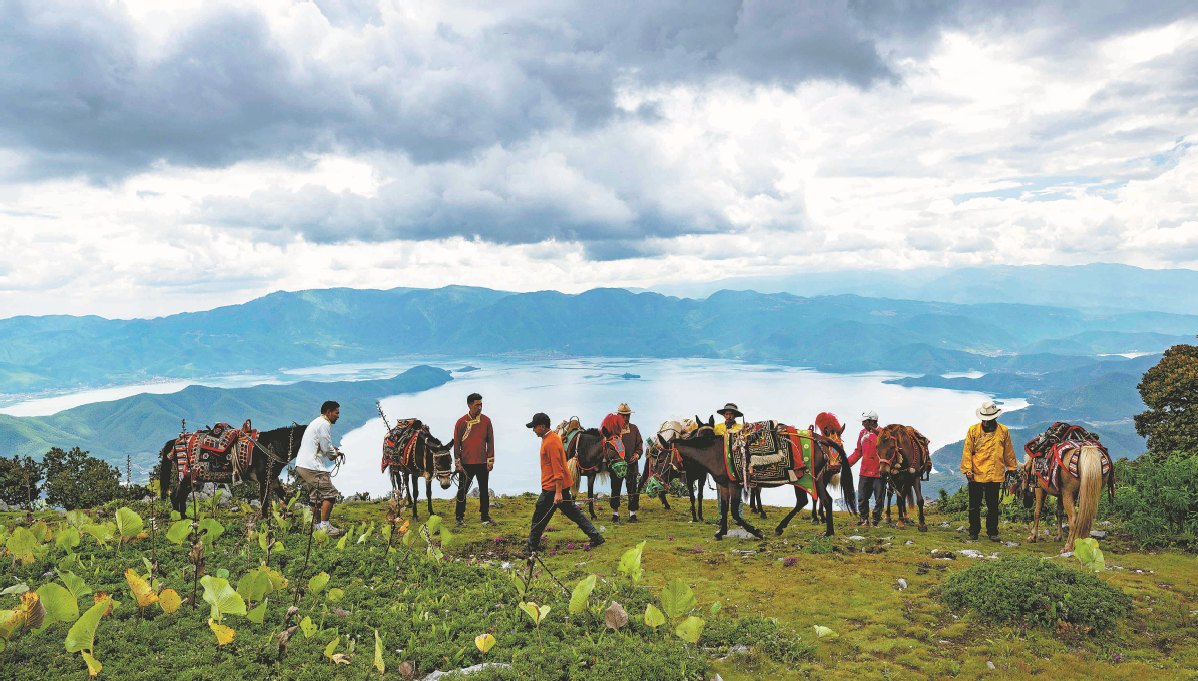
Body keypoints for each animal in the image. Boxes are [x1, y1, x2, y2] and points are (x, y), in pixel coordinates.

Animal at [156, 422, 306, 513]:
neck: (272, 447)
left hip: (193, 479)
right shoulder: (264, 480)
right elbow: (264, 506)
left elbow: (286, 498)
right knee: (175, 496)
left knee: (180, 497)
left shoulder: (273, 479)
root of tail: (175, 441)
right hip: (187, 475)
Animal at [646, 412, 843, 539]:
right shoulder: (724, 485)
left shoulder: (734, 485)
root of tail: (821, 440)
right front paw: (721, 532)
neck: (715, 453)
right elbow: (725, 507)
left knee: (816, 500)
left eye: (661, 458)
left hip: (809, 479)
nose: (655, 483)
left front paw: (757, 532)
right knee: (815, 500)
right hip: (809, 479)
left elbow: (734, 511)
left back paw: (824, 531)